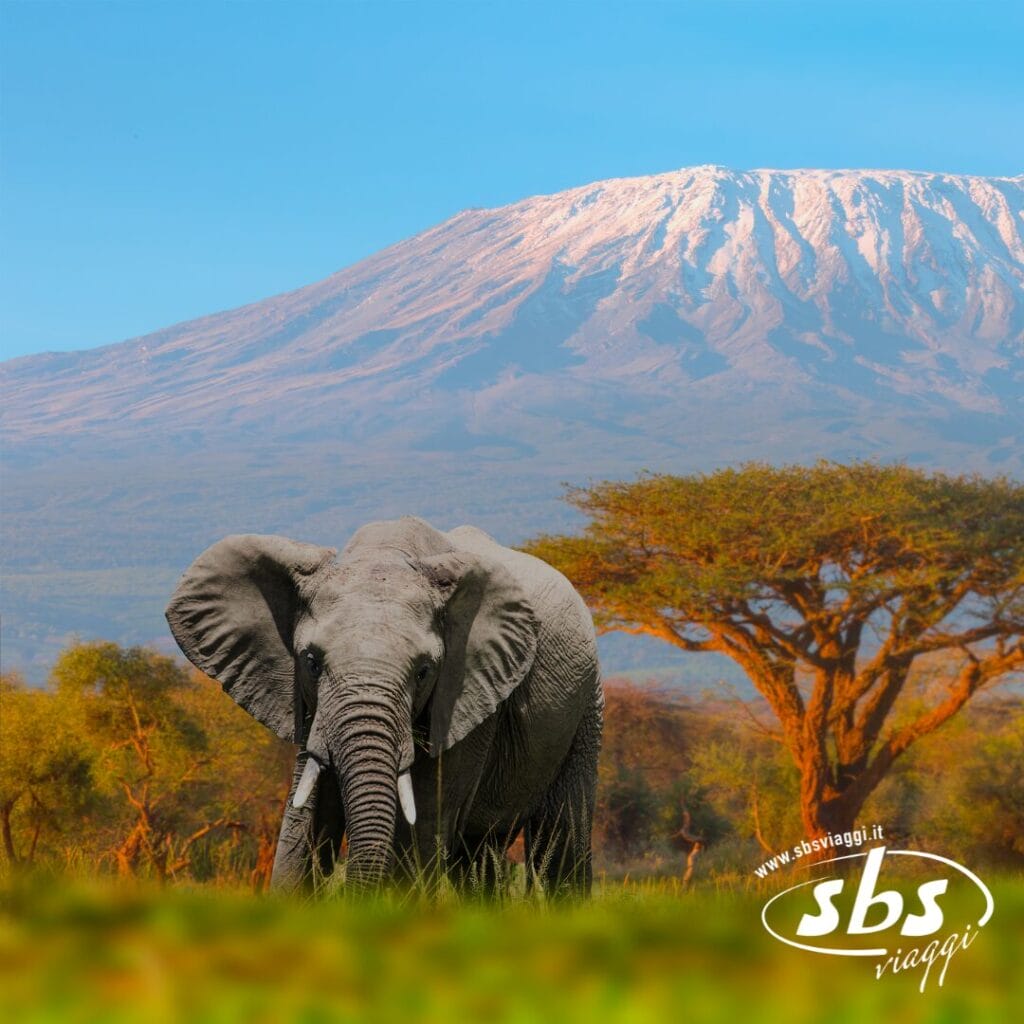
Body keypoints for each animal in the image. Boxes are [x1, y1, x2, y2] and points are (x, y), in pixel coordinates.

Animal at [165, 516, 603, 896]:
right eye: (311, 661)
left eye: (424, 671)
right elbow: (304, 825)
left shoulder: (468, 700)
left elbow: (421, 829)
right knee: (479, 858)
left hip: (587, 701)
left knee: (560, 842)